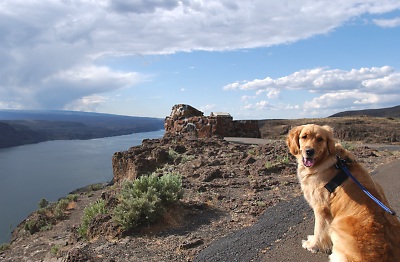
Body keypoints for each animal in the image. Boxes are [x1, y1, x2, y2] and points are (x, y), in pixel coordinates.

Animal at [288, 124, 400, 260]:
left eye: (320, 139)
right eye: (304, 137)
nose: (309, 151)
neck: (326, 160)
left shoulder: (321, 207)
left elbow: (319, 230)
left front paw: (312, 245)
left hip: (338, 227)